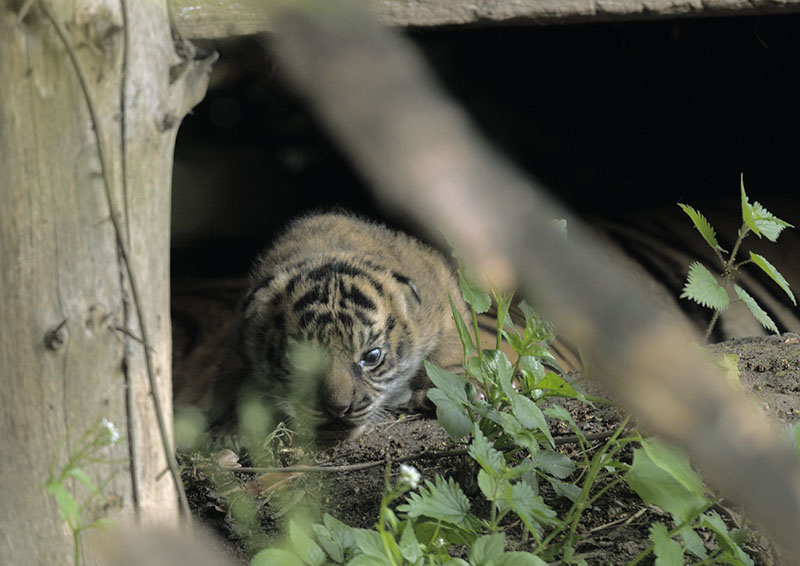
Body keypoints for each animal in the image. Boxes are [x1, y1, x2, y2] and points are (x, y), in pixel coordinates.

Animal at [211, 211, 471, 437]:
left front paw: (445, 391)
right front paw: (233, 429)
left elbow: (448, 352)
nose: (338, 410)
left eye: (372, 357)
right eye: (299, 358)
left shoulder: (441, 300)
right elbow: (234, 382)